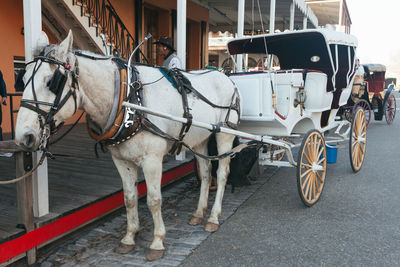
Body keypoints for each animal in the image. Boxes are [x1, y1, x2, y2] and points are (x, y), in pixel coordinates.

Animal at [14, 31, 241, 262]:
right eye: (21, 79)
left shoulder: (152, 160)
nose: (23, 137)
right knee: (205, 173)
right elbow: (130, 198)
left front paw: (157, 241)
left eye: (52, 82)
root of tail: (226, 77)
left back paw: (213, 217)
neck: (130, 100)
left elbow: (153, 200)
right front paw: (129, 237)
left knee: (222, 173)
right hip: (201, 139)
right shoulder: (121, 160)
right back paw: (199, 213)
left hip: (224, 135)